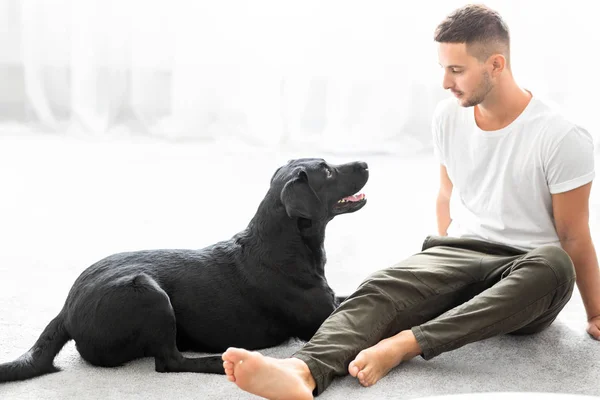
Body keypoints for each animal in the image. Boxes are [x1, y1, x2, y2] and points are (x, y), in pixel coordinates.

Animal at [0, 156, 368, 382]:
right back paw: (220, 361)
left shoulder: (333, 300)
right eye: (328, 171)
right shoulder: (318, 320)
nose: (365, 162)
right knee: (168, 362)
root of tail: (65, 310)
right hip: (148, 294)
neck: (288, 246)